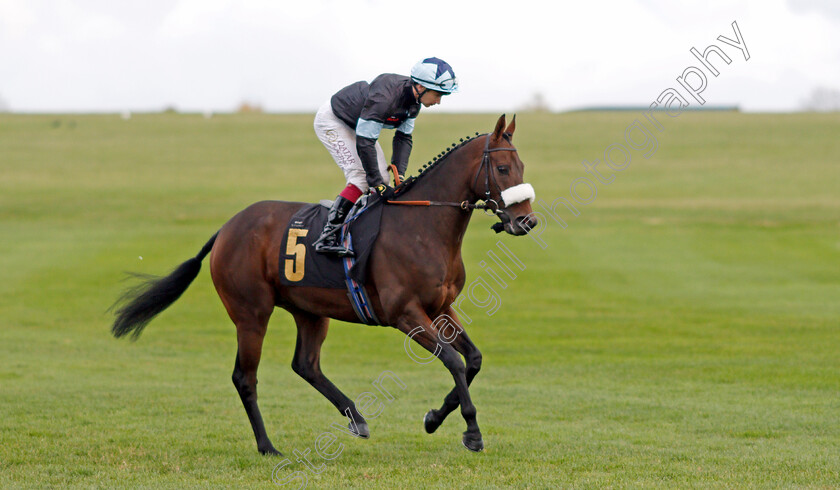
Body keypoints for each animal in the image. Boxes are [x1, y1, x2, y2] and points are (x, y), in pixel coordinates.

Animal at [110, 114, 540, 456]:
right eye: (503, 168)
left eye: (521, 164)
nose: (527, 221)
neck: (422, 226)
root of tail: (227, 228)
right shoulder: (406, 313)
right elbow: (452, 360)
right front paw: (471, 431)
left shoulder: (441, 308)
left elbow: (473, 360)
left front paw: (434, 417)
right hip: (251, 313)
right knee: (244, 377)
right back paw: (267, 446)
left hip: (310, 312)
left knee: (306, 364)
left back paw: (357, 418)